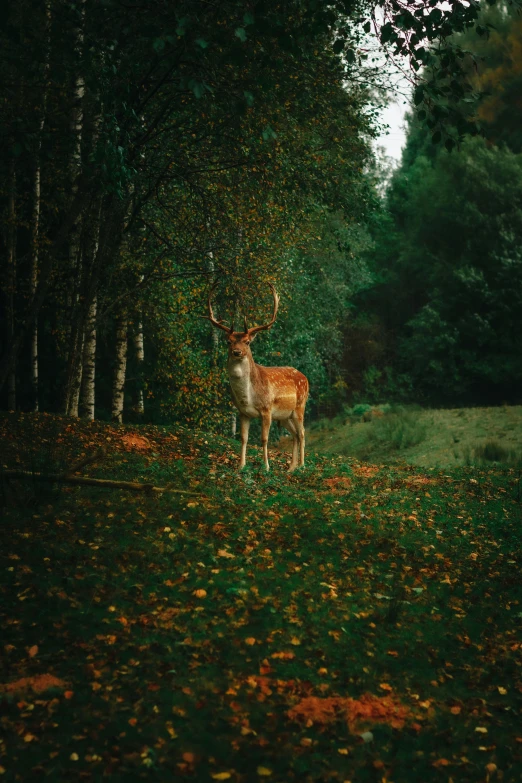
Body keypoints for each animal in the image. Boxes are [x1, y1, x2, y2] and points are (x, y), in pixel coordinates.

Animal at [204, 286, 308, 474]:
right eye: (228, 341)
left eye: (247, 342)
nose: (237, 352)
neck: (248, 397)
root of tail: (305, 377)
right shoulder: (243, 412)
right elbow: (244, 438)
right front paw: (241, 466)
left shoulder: (266, 409)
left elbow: (264, 439)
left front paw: (266, 467)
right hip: (284, 416)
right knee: (295, 434)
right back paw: (291, 468)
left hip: (299, 406)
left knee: (302, 432)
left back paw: (302, 465)